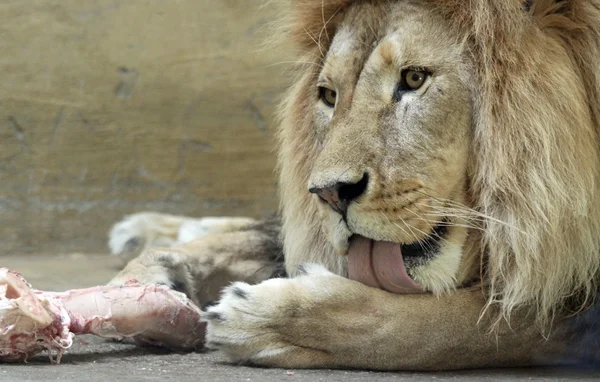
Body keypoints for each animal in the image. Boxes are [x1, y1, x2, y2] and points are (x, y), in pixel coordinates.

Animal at [108, 0, 600, 370]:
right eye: (329, 95)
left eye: (414, 78)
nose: (328, 194)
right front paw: (148, 277)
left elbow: (448, 324)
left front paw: (268, 319)